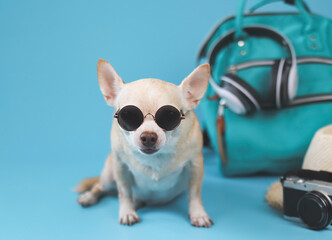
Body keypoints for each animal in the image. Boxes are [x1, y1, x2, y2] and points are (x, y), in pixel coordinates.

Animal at [75, 59, 211, 227]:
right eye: (128, 116)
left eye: (170, 116)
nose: (148, 137)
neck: (156, 158)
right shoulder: (121, 168)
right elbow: (124, 192)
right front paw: (127, 212)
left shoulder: (195, 166)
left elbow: (194, 194)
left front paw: (198, 214)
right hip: (108, 175)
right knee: (99, 186)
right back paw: (89, 197)